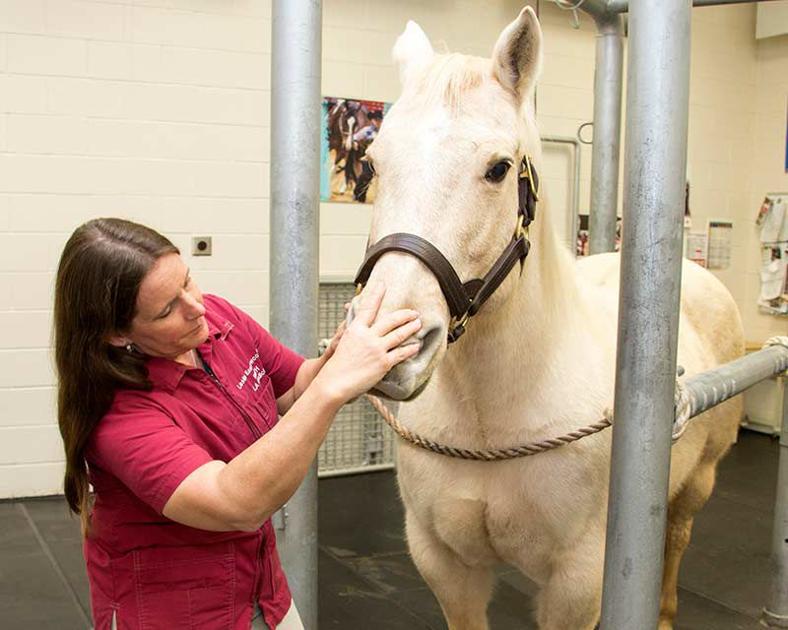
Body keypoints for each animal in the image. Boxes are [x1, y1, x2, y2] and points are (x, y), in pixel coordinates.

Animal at [350, 8, 744, 630]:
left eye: (498, 168)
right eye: (373, 162)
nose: (393, 346)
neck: (492, 418)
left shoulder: (578, 585)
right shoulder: (445, 565)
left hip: (699, 480)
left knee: (676, 538)